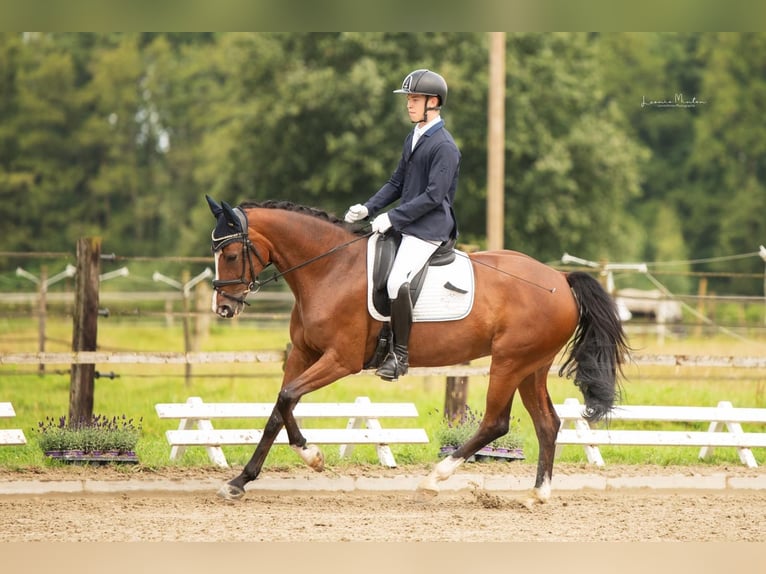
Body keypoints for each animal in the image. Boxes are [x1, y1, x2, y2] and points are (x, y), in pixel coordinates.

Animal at [206, 197, 632, 504]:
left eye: (231, 255)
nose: (223, 308)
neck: (330, 268)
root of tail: (560, 278)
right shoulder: (303, 354)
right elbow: (280, 407)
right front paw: (251, 476)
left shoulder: (340, 360)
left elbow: (286, 398)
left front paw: (298, 461)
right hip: (532, 366)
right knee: (547, 423)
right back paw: (538, 494)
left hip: (509, 362)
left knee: (496, 422)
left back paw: (433, 479)